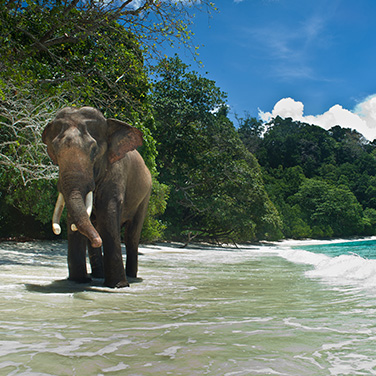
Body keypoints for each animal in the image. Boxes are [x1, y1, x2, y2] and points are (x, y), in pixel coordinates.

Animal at [42, 106, 151, 288]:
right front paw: (78, 281)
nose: (97, 241)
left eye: (94, 151)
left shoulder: (116, 172)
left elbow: (108, 214)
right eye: (55, 151)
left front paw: (118, 285)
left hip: (145, 195)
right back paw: (98, 275)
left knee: (132, 235)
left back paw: (131, 276)